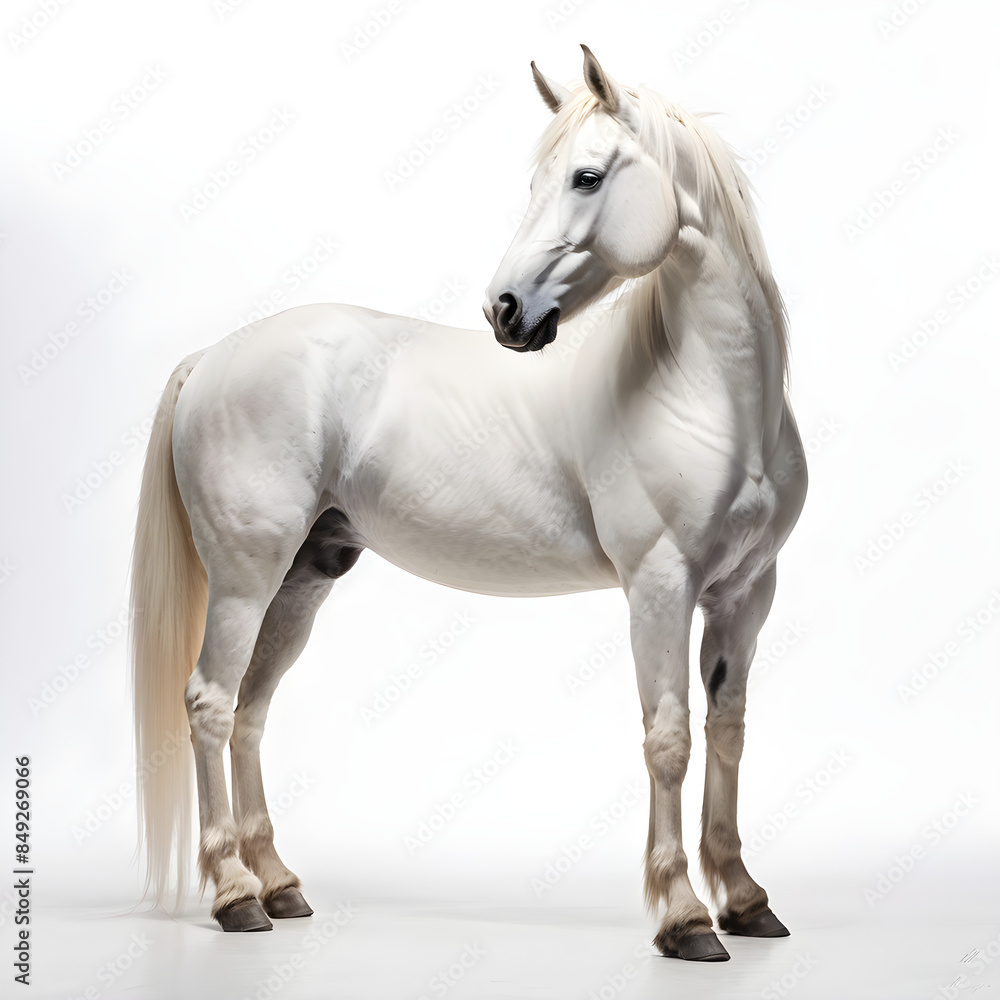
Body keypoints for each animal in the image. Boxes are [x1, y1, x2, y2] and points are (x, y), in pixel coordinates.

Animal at [130, 45, 807, 963]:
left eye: (586, 175)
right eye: (538, 180)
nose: (505, 311)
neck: (712, 400)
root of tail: (213, 356)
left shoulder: (745, 594)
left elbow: (726, 732)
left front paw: (743, 898)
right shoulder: (660, 588)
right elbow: (668, 740)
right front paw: (685, 918)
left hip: (302, 580)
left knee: (249, 711)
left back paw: (278, 884)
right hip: (244, 577)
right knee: (208, 702)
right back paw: (235, 894)